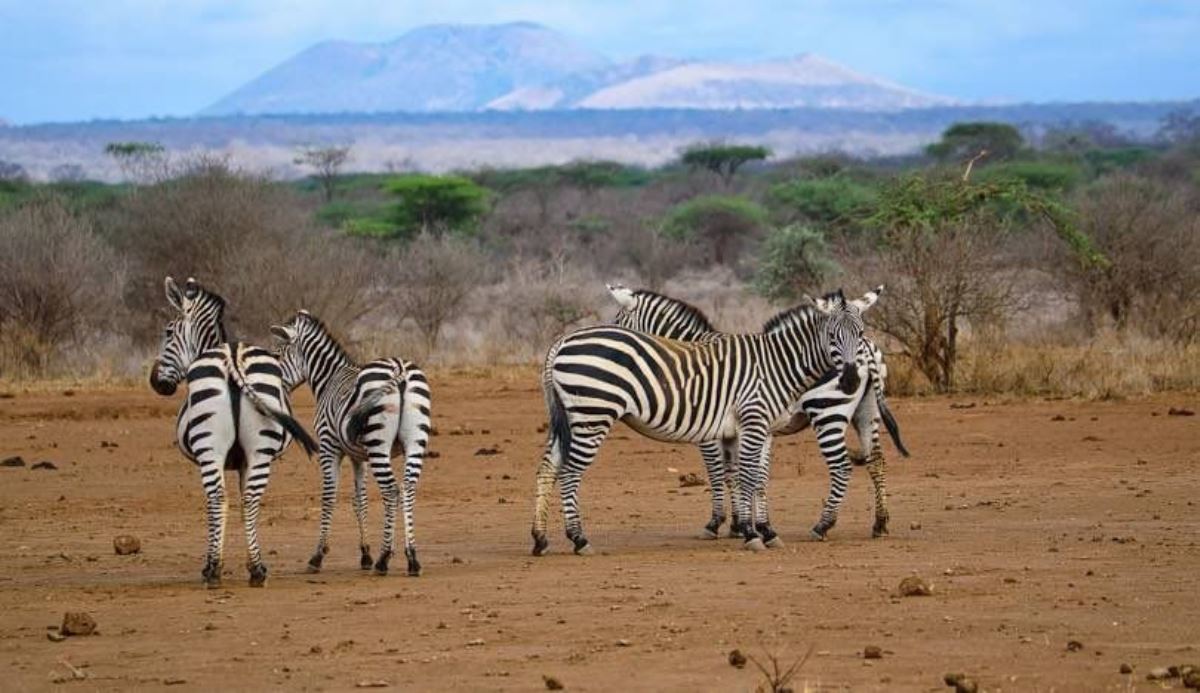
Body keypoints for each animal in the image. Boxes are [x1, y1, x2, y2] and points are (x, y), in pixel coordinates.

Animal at [148, 275, 319, 582]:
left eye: (168, 332)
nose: (156, 383)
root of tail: (233, 356)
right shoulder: (242, 462)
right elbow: (241, 502)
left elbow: (223, 503)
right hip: (259, 449)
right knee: (250, 499)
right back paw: (257, 568)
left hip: (209, 448)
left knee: (216, 498)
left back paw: (213, 568)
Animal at [273, 309, 436, 575]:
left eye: (277, 355)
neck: (328, 379)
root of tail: (399, 368)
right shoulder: (360, 457)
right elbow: (360, 501)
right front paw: (365, 554)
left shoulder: (329, 447)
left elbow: (329, 497)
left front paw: (318, 556)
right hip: (414, 442)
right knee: (408, 488)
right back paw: (412, 558)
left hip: (379, 445)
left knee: (391, 490)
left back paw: (384, 558)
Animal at [532, 282, 883, 553]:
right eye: (832, 335)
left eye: (859, 331)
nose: (849, 381)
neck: (776, 363)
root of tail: (561, 342)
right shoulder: (744, 425)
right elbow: (739, 476)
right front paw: (746, 531)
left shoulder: (753, 428)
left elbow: (749, 477)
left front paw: (756, 529)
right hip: (592, 414)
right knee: (568, 471)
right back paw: (578, 539)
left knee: (549, 468)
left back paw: (540, 539)